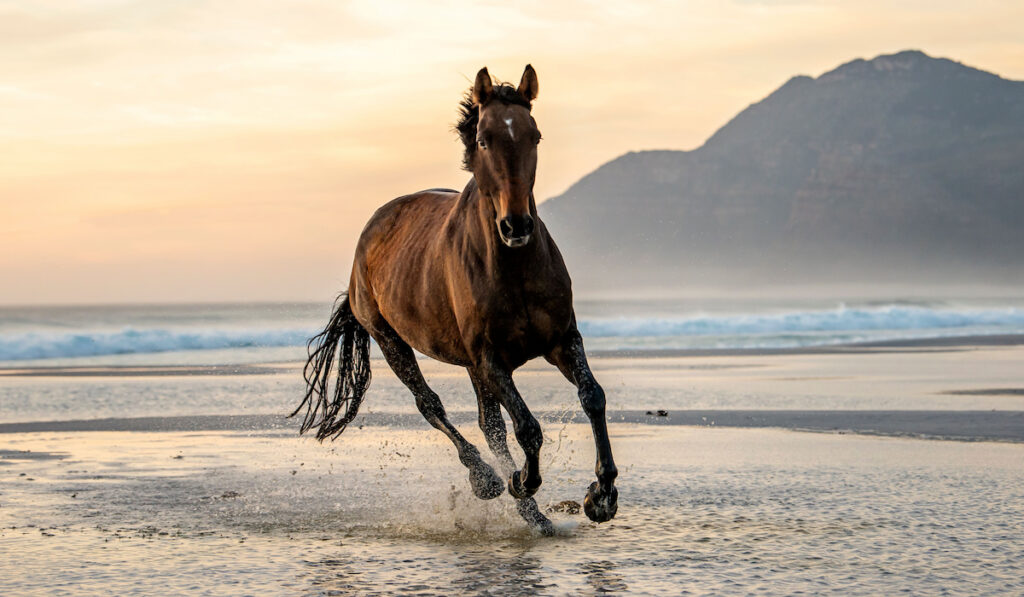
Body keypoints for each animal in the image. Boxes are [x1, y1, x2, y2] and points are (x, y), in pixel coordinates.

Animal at [292, 66, 618, 536]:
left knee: (489, 424)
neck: (514, 268)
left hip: (469, 363)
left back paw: (532, 513)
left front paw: (602, 496)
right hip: (392, 341)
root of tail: (370, 232)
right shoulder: (490, 358)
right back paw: (491, 482)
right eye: (483, 139)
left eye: (535, 135)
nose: (516, 225)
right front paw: (523, 480)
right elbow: (527, 427)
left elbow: (592, 396)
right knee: (433, 405)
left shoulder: (561, 340)